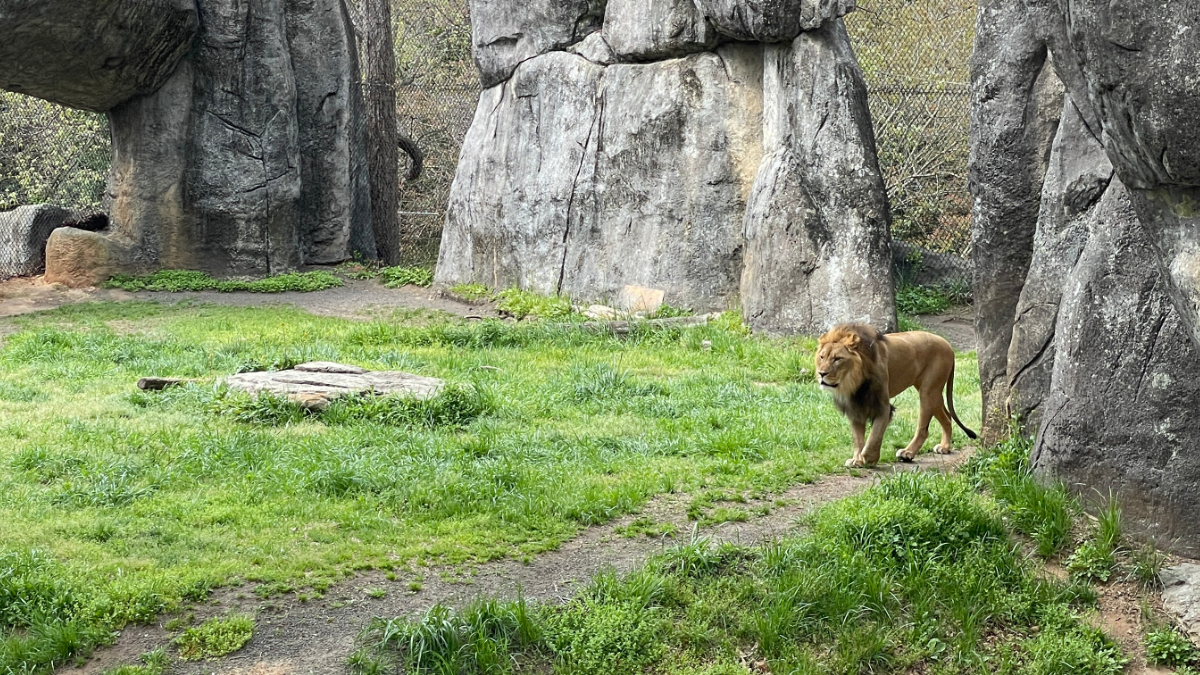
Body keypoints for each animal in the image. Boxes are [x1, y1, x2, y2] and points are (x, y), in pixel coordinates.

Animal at [814, 323, 977, 468]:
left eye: (837, 359)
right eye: (822, 357)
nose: (821, 374)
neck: (854, 381)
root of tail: (948, 345)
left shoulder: (883, 406)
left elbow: (874, 435)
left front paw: (869, 458)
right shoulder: (855, 407)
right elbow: (858, 438)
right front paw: (857, 460)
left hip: (928, 391)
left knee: (923, 429)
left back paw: (908, 453)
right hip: (933, 393)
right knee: (947, 417)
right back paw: (945, 447)